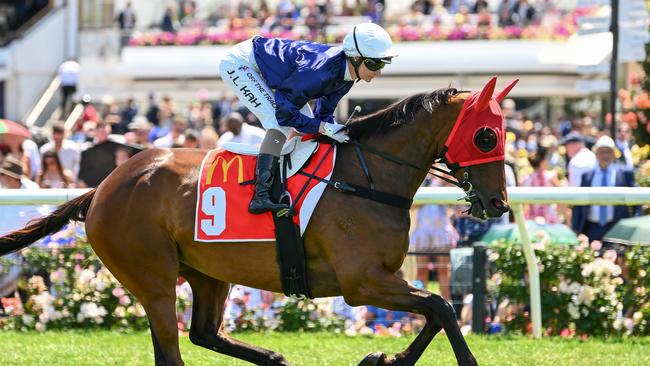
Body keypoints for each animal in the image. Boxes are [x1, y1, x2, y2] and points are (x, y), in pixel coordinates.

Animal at [1, 76, 516, 364]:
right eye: (487, 137)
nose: (498, 203)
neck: (365, 178)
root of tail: (104, 186)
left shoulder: (382, 279)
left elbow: (435, 310)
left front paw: (382, 359)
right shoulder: (361, 282)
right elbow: (442, 307)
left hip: (208, 272)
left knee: (204, 332)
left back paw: (274, 357)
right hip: (152, 278)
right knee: (172, 348)